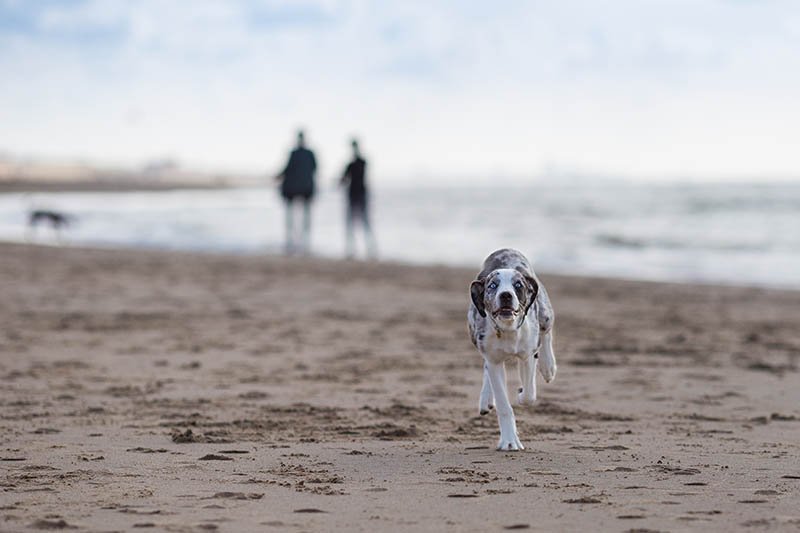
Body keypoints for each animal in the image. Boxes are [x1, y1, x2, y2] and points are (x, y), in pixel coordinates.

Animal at [468, 248, 556, 448]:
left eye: (518, 285)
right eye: (493, 286)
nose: (506, 295)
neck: (507, 330)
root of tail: (506, 249)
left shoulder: (527, 356)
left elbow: (530, 394)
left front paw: (521, 394)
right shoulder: (493, 360)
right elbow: (503, 405)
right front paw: (509, 441)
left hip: (545, 312)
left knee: (546, 332)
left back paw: (548, 366)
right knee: (486, 367)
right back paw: (486, 399)